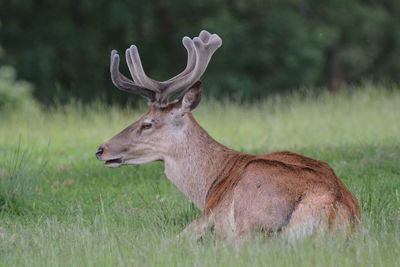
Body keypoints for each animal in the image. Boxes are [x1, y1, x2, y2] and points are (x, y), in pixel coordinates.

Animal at [95, 30, 360, 240]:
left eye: (147, 123)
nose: (101, 149)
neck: (209, 183)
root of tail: (334, 210)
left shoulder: (209, 214)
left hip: (250, 221)